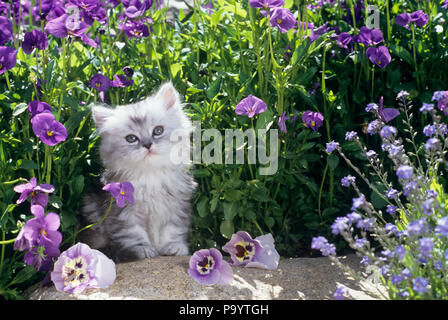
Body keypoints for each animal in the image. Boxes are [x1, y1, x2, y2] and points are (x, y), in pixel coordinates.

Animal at [79, 82, 198, 262]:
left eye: (158, 131)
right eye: (131, 138)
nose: (148, 145)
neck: (151, 174)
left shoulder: (176, 207)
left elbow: (172, 230)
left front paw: (174, 247)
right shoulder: (125, 213)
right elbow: (133, 235)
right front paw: (143, 250)